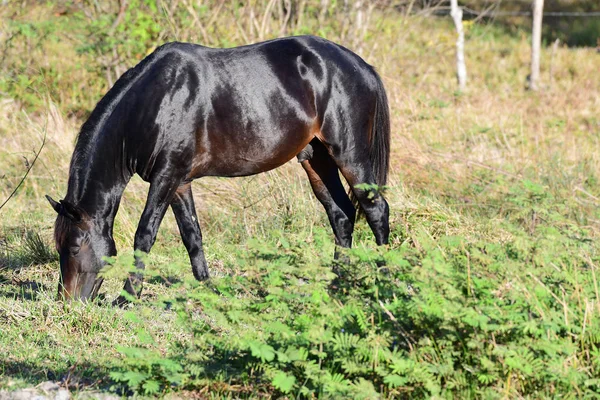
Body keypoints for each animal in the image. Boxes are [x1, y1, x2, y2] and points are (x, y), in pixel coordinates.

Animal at [44, 36, 390, 302]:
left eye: (74, 248)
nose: (68, 303)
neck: (158, 101)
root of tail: (362, 67)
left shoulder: (166, 177)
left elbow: (144, 236)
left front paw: (126, 298)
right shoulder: (179, 182)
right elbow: (192, 236)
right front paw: (208, 289)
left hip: (350, 155)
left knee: (376, 211)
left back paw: (387, 282)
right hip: (317, 159)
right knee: (342, 216)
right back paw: (337, 287)